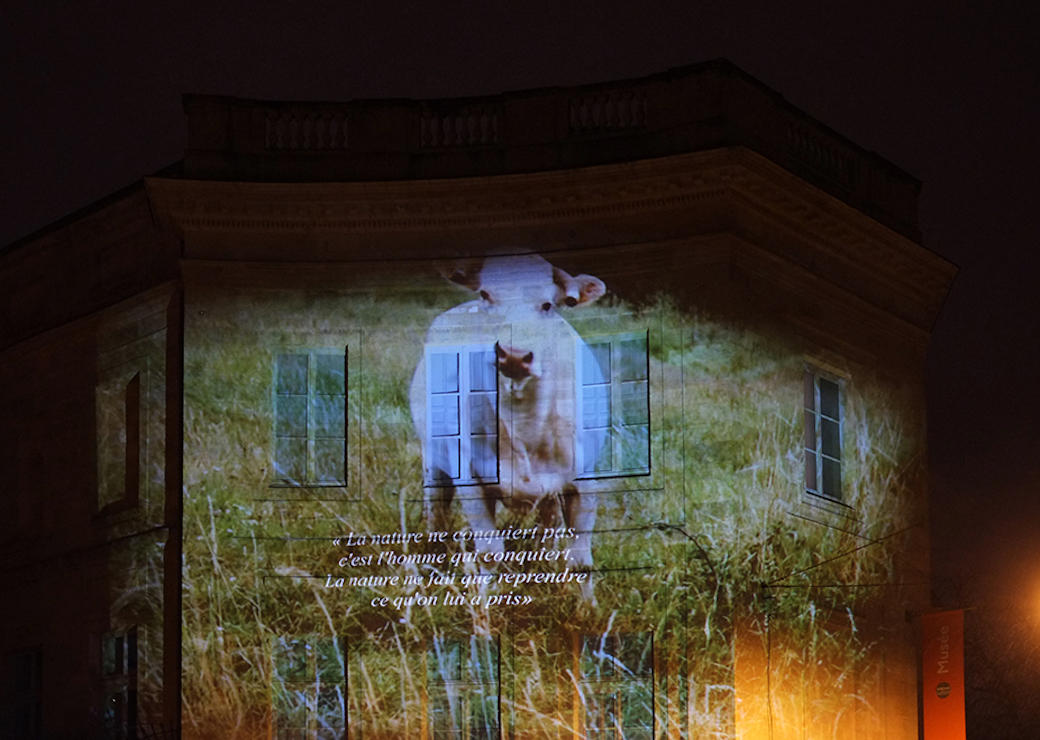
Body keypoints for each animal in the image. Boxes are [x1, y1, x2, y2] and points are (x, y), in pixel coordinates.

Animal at [409, 254, 607, 594]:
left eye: (548, 304)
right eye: (486, 295)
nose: (513, 356)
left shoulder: (584, 481)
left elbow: (581, 561)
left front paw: (588, 606)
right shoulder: (472, 480)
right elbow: (489, 554)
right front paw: (490, 602)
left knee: (548, 524)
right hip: (433, 462)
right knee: (436, 509)